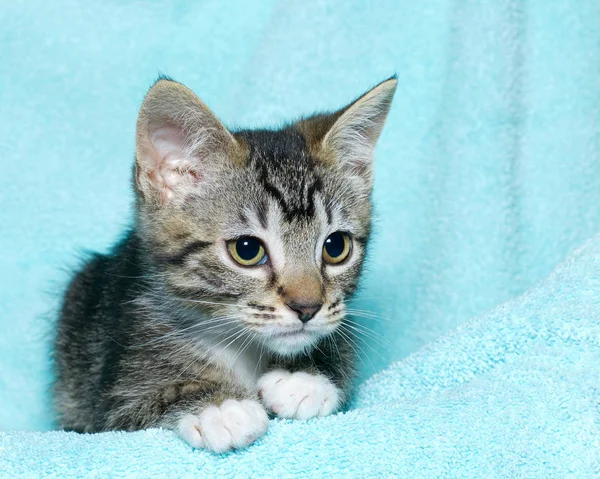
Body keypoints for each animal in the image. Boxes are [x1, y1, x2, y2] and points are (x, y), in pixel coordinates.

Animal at [52, 76, 398, 454]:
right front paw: (218, 407)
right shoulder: (111, 401)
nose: (307, 308)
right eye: (247, 250)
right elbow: (148, 400)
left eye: (336, 247)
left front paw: (305, 377)